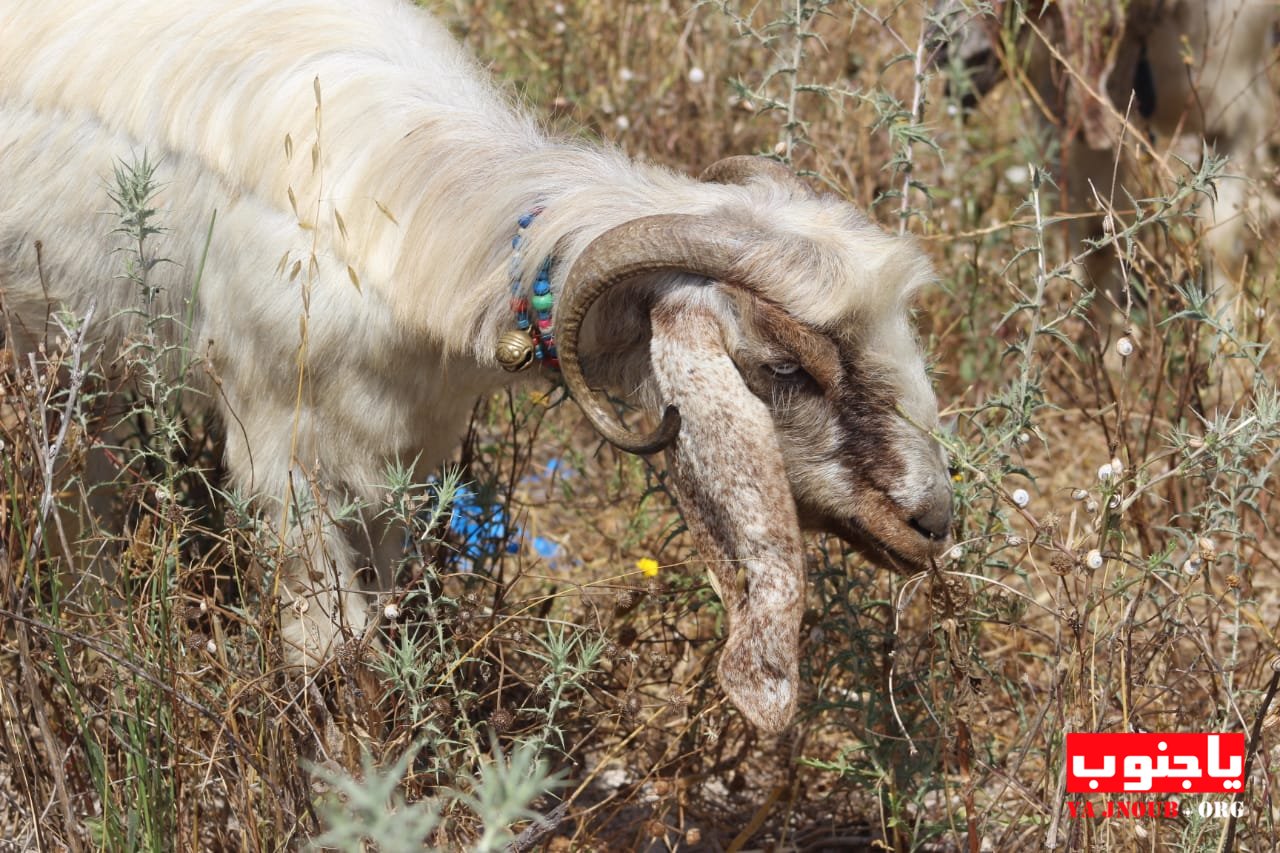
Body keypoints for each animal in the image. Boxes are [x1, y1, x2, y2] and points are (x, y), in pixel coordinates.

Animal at [0, 0, 957, 732]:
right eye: (785, 367)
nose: (932, 518)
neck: (422, 212)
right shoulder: (278, 454)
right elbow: (331, 654)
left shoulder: (404, 451)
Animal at [936, 0, 1274, 345]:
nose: (951, 51)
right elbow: (1097, 238)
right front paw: (1101, 348)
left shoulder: (1238, 114)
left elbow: (1222, 240)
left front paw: (1226, 347)